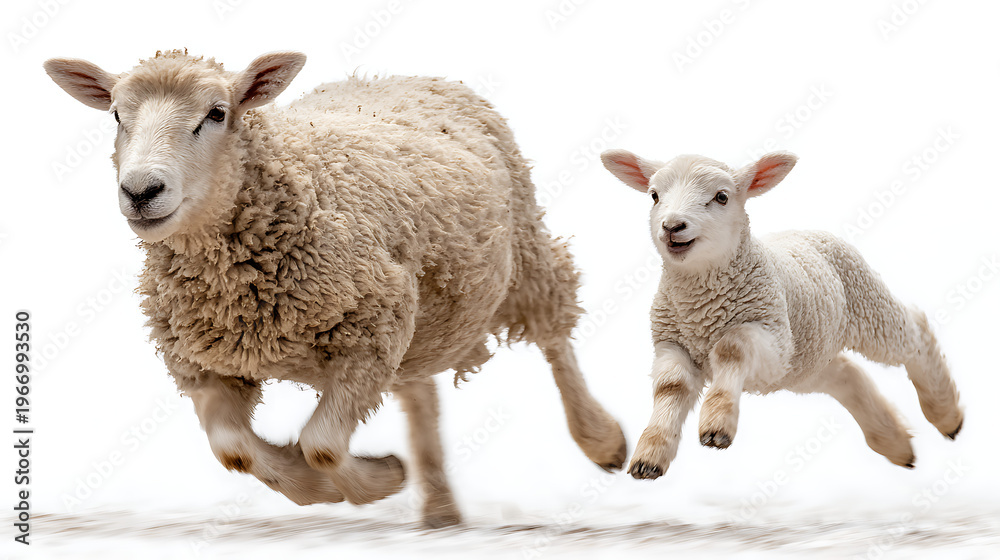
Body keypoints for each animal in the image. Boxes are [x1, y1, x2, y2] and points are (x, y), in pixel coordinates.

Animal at [43, 49, 627, 527]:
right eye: (117, 116)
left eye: (217, 113)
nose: (141, 191)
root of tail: (399, 74)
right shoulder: (205, 364)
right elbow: (234, 450)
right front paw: (312, 486)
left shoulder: (369, 335)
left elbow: (321, 444)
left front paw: (379, 478)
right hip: (417, 321)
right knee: (421, 396)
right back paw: (440, 511)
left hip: (523, 251)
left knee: (555, 337)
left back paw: (603, 441)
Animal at [600, 149, 963, 479]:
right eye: (654, 196)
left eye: (721, 197)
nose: (672, 226)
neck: (700, 306)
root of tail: (810, 230)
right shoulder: (672, 344)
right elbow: (670, 388)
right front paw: (650, 454)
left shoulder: (771, 335)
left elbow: (730, 348)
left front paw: (716, 424)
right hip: (805, 362)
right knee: (848, 374)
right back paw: (895, 444)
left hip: (866, 311)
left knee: (914, 332)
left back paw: (946, 416)